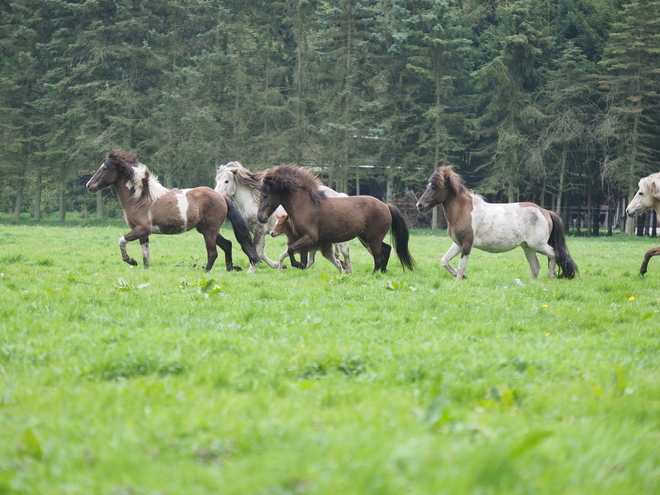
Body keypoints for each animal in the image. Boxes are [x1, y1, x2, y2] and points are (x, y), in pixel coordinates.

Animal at [87, 152, 260, 276]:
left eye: (104, 168)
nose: (89, 185)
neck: (139, 199)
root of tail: (222, 197)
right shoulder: (143, 232)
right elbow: (146, 254)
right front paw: (144, 269)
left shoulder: (141, 229)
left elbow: (122, 241)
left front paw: (131, 261)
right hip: (206, 229)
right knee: (227, 244)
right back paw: (230, 268)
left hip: (209, 231)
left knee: (213, 252)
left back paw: (206, 271)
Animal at [215, 162, 350, 272]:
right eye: (217, 180)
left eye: (226, 181)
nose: (216, 196)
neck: (253, 203)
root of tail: (338, 195)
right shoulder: (258, 232)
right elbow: (261, 252)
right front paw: (279, 265)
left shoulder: (259, 231)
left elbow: (257, 251)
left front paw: (251, 270)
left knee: (345, 248)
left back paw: (347, 269)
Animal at [256, 167, 416, 276]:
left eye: (265, 194)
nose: (260, 218)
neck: (305, 205)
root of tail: (386, 206)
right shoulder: (303, 239)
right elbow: (301, 256)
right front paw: (299, 265)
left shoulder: (310, 237)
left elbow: (290, 250)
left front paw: (296, 264)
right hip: (366, 237)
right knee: (386, 249)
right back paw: (383, 271)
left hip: (372, 238)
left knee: (378, 255)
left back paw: (374, 273)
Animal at [418, 167, 576, 280]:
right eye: (427, 186)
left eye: (434, 187)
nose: (419, 205)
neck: (464, 211)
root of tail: (545, 212)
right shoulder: (458, 244)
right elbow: (444, 260)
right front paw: (462, 276)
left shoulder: (467, 244)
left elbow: (461, 266)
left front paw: (460, 278)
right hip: (528, 247)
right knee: (535, 267)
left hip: (538, 245)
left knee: (553, 254)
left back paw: (552, 276)